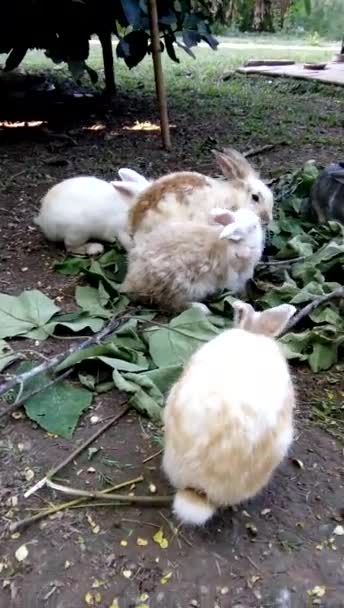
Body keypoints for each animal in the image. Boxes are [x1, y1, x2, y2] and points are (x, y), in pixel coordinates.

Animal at [121, 208, 264, 314]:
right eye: (254, 226)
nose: (260, 219)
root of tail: (132, 285)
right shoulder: (236, 278)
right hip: (181, 286)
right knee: (171, 304)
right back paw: (202, 309)